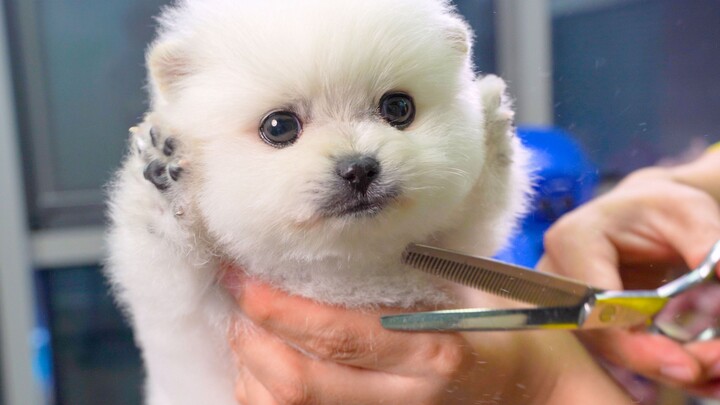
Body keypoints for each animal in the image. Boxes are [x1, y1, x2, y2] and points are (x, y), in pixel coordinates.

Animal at [107, 0, 532, 402]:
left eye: (398, 107)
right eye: (279, 126)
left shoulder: (457, 244)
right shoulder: (190, 322)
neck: (339, 268)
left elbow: (484, 206)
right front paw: (160, 175)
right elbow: (160, 266)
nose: (359, 169)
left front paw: (491, 118)